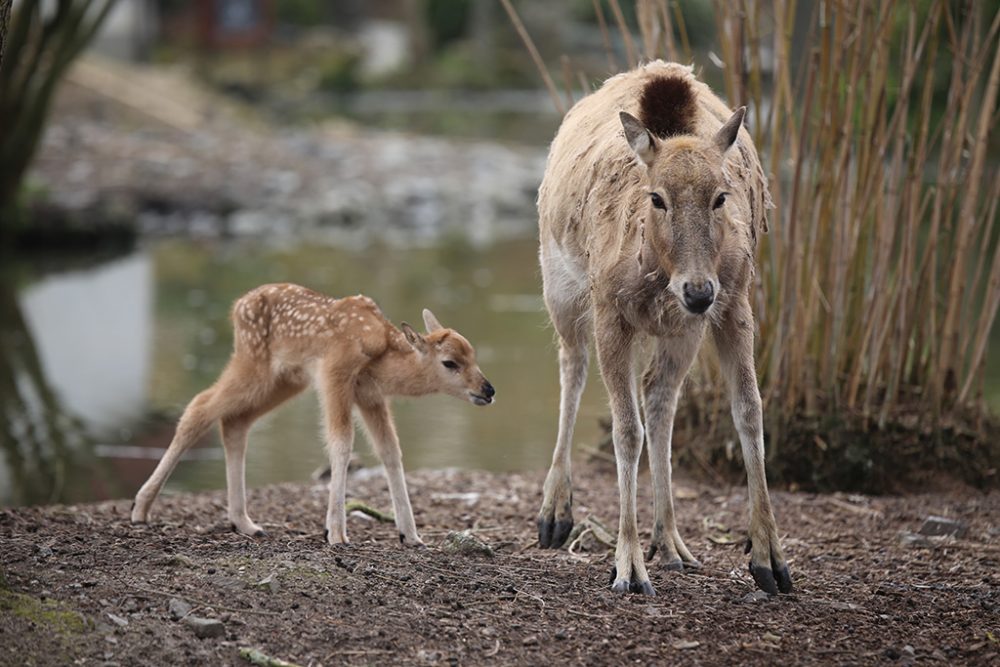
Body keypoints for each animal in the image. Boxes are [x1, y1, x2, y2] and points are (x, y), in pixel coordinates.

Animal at [132, 284, 492, 544]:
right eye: (450, 362)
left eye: (474, 354)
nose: (488, 389)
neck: (382, 356)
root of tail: (237, 306)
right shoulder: (335, 373)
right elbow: (342, 443)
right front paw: (336, 533)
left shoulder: (370, 395)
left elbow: (390, 451)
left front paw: (411, 535)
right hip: (253, 363)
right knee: (199, 406)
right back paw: (140, 509)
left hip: (286, 380)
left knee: (235, 421)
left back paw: (245, 523)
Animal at [536, 61, 792, 596]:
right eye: (656, 197)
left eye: (721, 196)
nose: (698, 290)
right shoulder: (610, 310)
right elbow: (624, 429)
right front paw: (627, 566)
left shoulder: (735, 301)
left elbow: (749, 409)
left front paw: (771, 560)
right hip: (560, 287)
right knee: (573, 366)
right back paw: (555, 514)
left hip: (683, 330)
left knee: (659, 396)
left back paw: (671, 541)